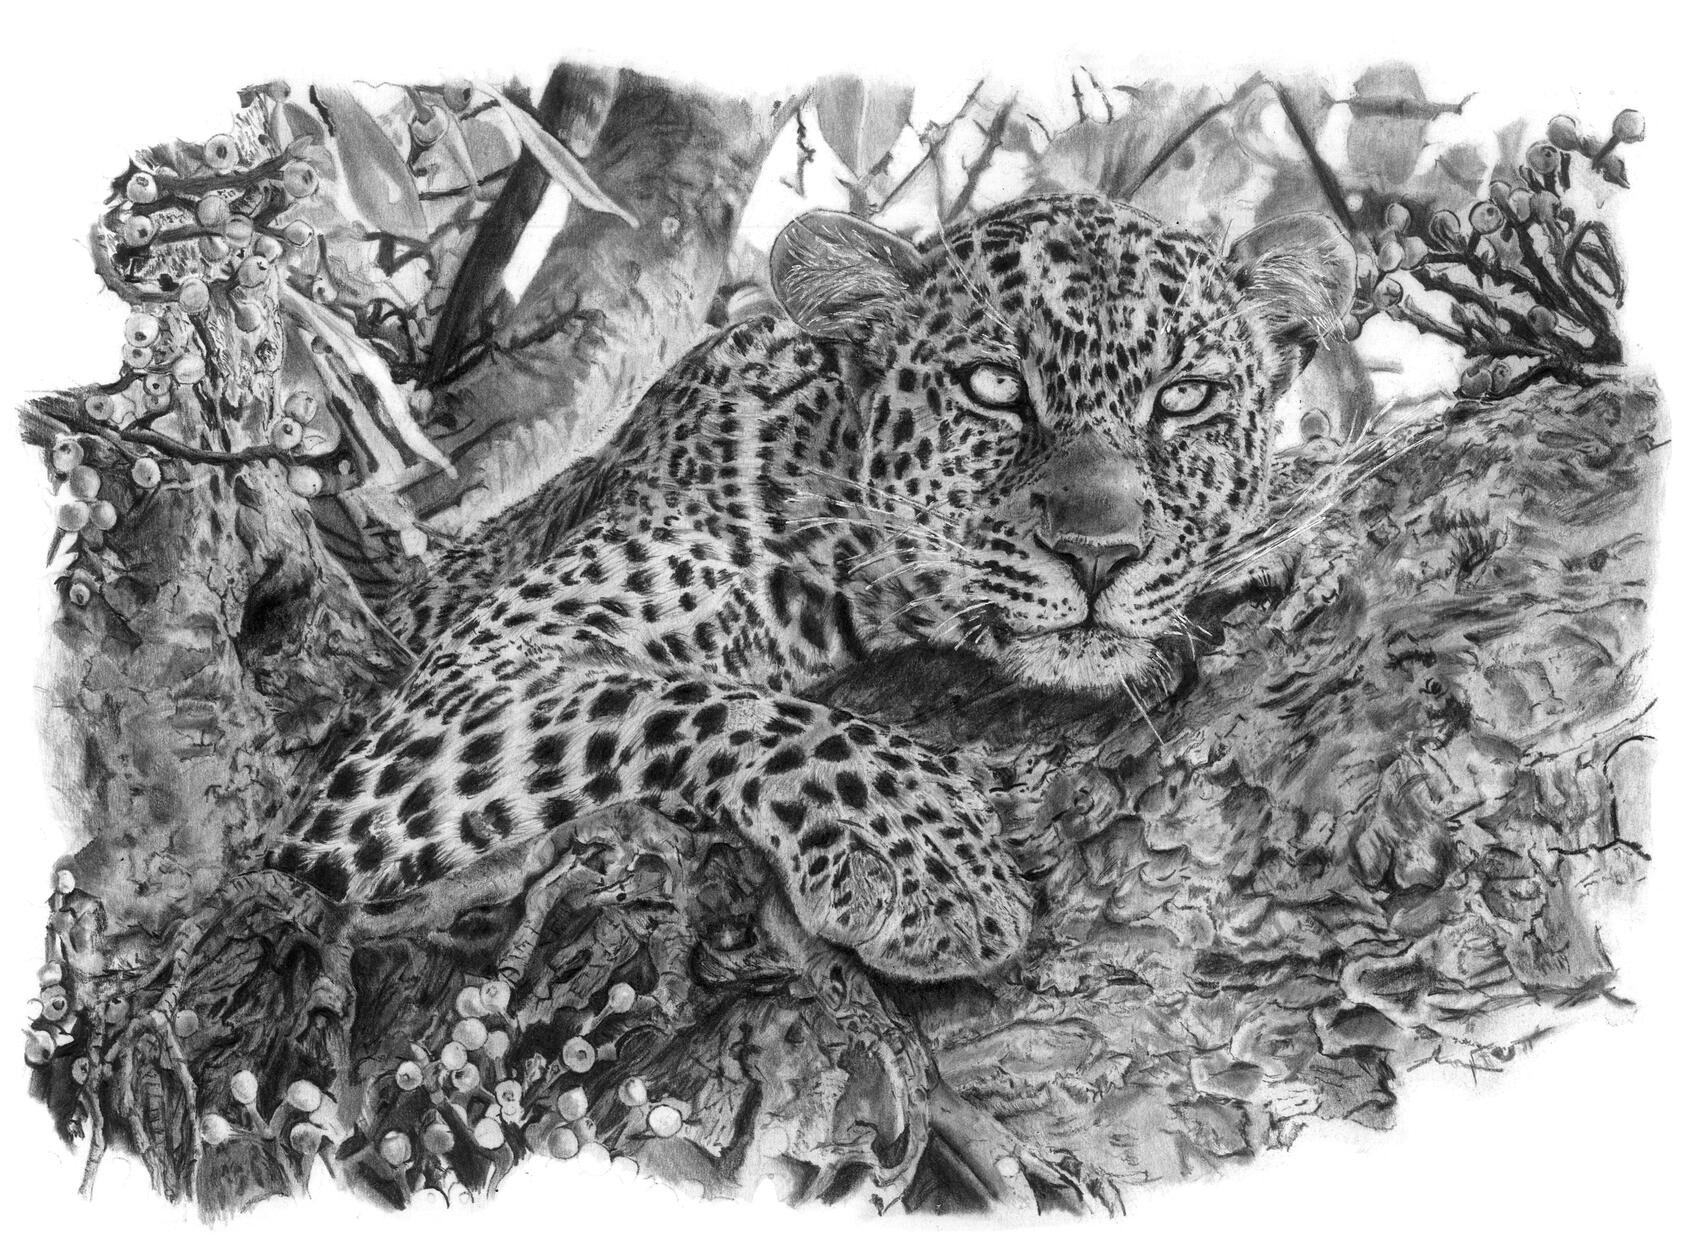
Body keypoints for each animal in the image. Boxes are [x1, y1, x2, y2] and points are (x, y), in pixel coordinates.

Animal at [264, 192, 1356, 983]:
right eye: (995, 389)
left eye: (1186, 398)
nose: (1100, 551)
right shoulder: (473, 675)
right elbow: (714, 700)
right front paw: (927, 859)